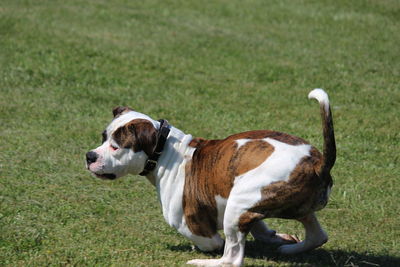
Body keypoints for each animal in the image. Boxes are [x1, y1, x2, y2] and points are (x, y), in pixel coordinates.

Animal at [86, 89, 334, 266]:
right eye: (103, 137)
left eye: (116, 146)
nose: (90, 156)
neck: (165, 151)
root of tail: (316, 163)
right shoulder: (252, 210)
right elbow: (261, 228)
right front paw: (275, 237)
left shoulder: (190, 225)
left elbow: (212, 241)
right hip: (293, 207)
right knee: (318, 235)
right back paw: (290, 248)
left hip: (238, 203)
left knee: (231, 259)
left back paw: (204, 262)